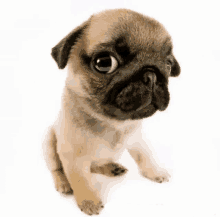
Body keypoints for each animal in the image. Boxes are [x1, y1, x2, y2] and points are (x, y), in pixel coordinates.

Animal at [43, 8, 180, 215]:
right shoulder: (73, 156)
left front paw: (155, 172)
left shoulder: (137, 140)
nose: (151, 75)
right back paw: (63, 183)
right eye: (105, 62)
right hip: (49, 140)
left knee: (96, 166)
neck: (113, 122)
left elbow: (145, 157)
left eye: (168, 64)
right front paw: (89, 201)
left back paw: (111, 168)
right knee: (57, 168)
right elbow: (80, 179)